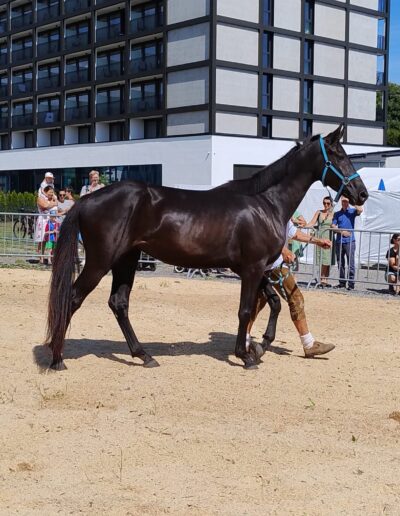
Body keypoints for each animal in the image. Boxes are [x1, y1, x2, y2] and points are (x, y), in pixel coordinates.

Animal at [44, 128, 368, 370]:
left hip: (126, 260)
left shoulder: (257, 268)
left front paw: (260, 345)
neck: (265, 203)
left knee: (118, 303)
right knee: (73, 298)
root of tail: (86, 200)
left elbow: (274, 303)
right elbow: (245, 310)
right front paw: (246, 355)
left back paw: (144, 355)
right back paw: (57, 358)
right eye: (339, 155)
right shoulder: (252, 268)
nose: (362, 193)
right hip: (101, 262)